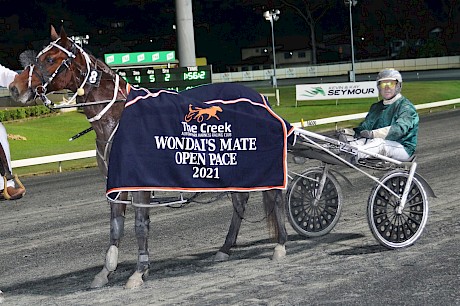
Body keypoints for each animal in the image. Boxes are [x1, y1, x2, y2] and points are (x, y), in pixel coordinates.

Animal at [8, 26, 288, 290]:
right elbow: (116, 225)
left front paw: (138, 272)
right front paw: (105, 271)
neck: (118, 115)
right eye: (38, 57)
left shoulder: (139, 181)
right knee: (240, 200)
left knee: (274, 194)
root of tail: (260, 98)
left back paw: (280, 245)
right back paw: (225, 248)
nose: (14, 88)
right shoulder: (116, 181)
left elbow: (140, 225)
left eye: (50, 59)